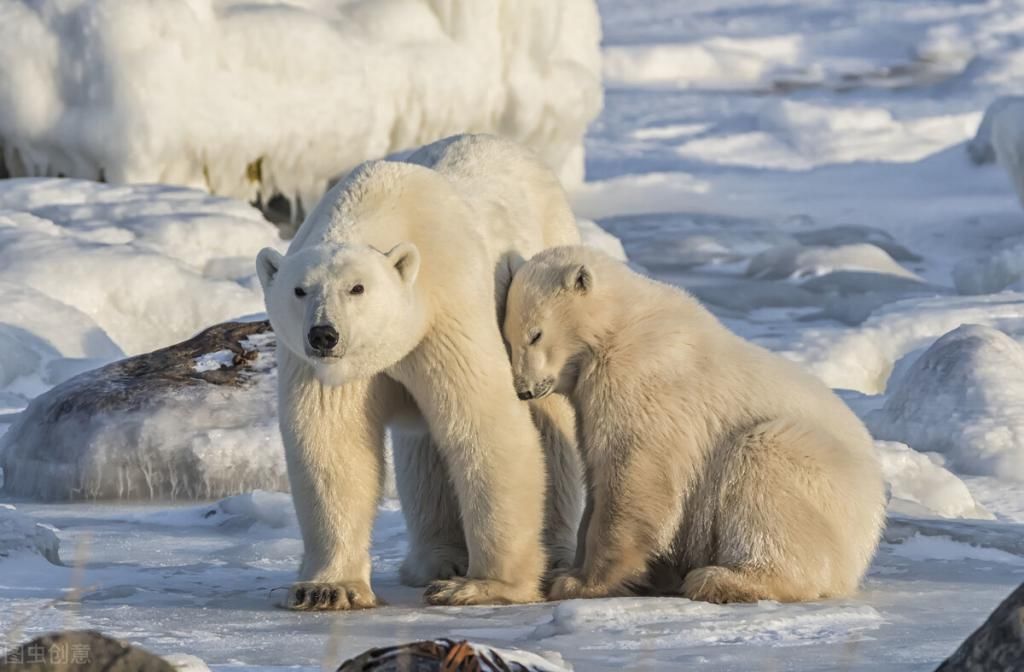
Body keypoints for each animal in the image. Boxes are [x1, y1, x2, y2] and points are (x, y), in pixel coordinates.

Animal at [256, 135, 585, 610]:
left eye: (357, 288)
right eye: (300, 290)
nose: (324, 335)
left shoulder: (447, 312)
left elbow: (485, 425)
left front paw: (485, 586)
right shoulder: (321, 367)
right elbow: (332, 442)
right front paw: (326, 588)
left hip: (542, 272)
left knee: (551, 429)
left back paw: (552, 555)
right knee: (422, 453)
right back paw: (436, 560)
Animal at [503, 245, 888, 602]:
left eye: (535, 334)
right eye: (507, 339)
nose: (523, 390)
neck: (623, 322)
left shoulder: (641, 378)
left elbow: (634, 473)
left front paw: (580, 583)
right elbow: (598, 475)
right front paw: (570, 569)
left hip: (815, 476)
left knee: (763, 466)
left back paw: (722, 579)